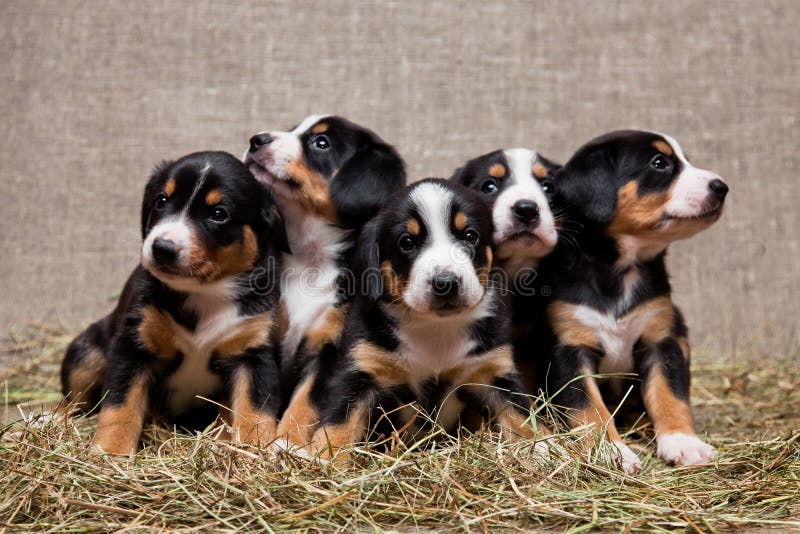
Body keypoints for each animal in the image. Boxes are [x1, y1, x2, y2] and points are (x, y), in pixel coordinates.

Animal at [62, 152, 288, 456]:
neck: (204, 293)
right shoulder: (134, 344)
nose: (162, 248)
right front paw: (111, 452)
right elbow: (121, 405)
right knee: (73, 402)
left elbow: (254, 410)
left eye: (219, 214)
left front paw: (252, 452)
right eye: (161, 200)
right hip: (86, 353)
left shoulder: (252, 351)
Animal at [244, 116, 406, 448]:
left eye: (321, 143)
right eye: (291, 130)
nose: (256, 140)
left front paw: (288, 443)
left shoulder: (331, 348)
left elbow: (305, 402)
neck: (310, 258)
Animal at [310, 180, 540, 460]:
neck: (435, 328)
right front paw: (321, 461)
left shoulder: (491, 371)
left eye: (470, 236)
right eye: (407, 242)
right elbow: (337, 425)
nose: (445, 283)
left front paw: (543, 451)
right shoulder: (362, 372)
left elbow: (522, 417)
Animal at [548, 131, 728, 474]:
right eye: (659, 163)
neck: (620, 271)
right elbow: (590, 409)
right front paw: (610, 452)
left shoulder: (661, 340)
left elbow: (669, 395)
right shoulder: (570, 349)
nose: (722, 187)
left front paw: (683, 443)